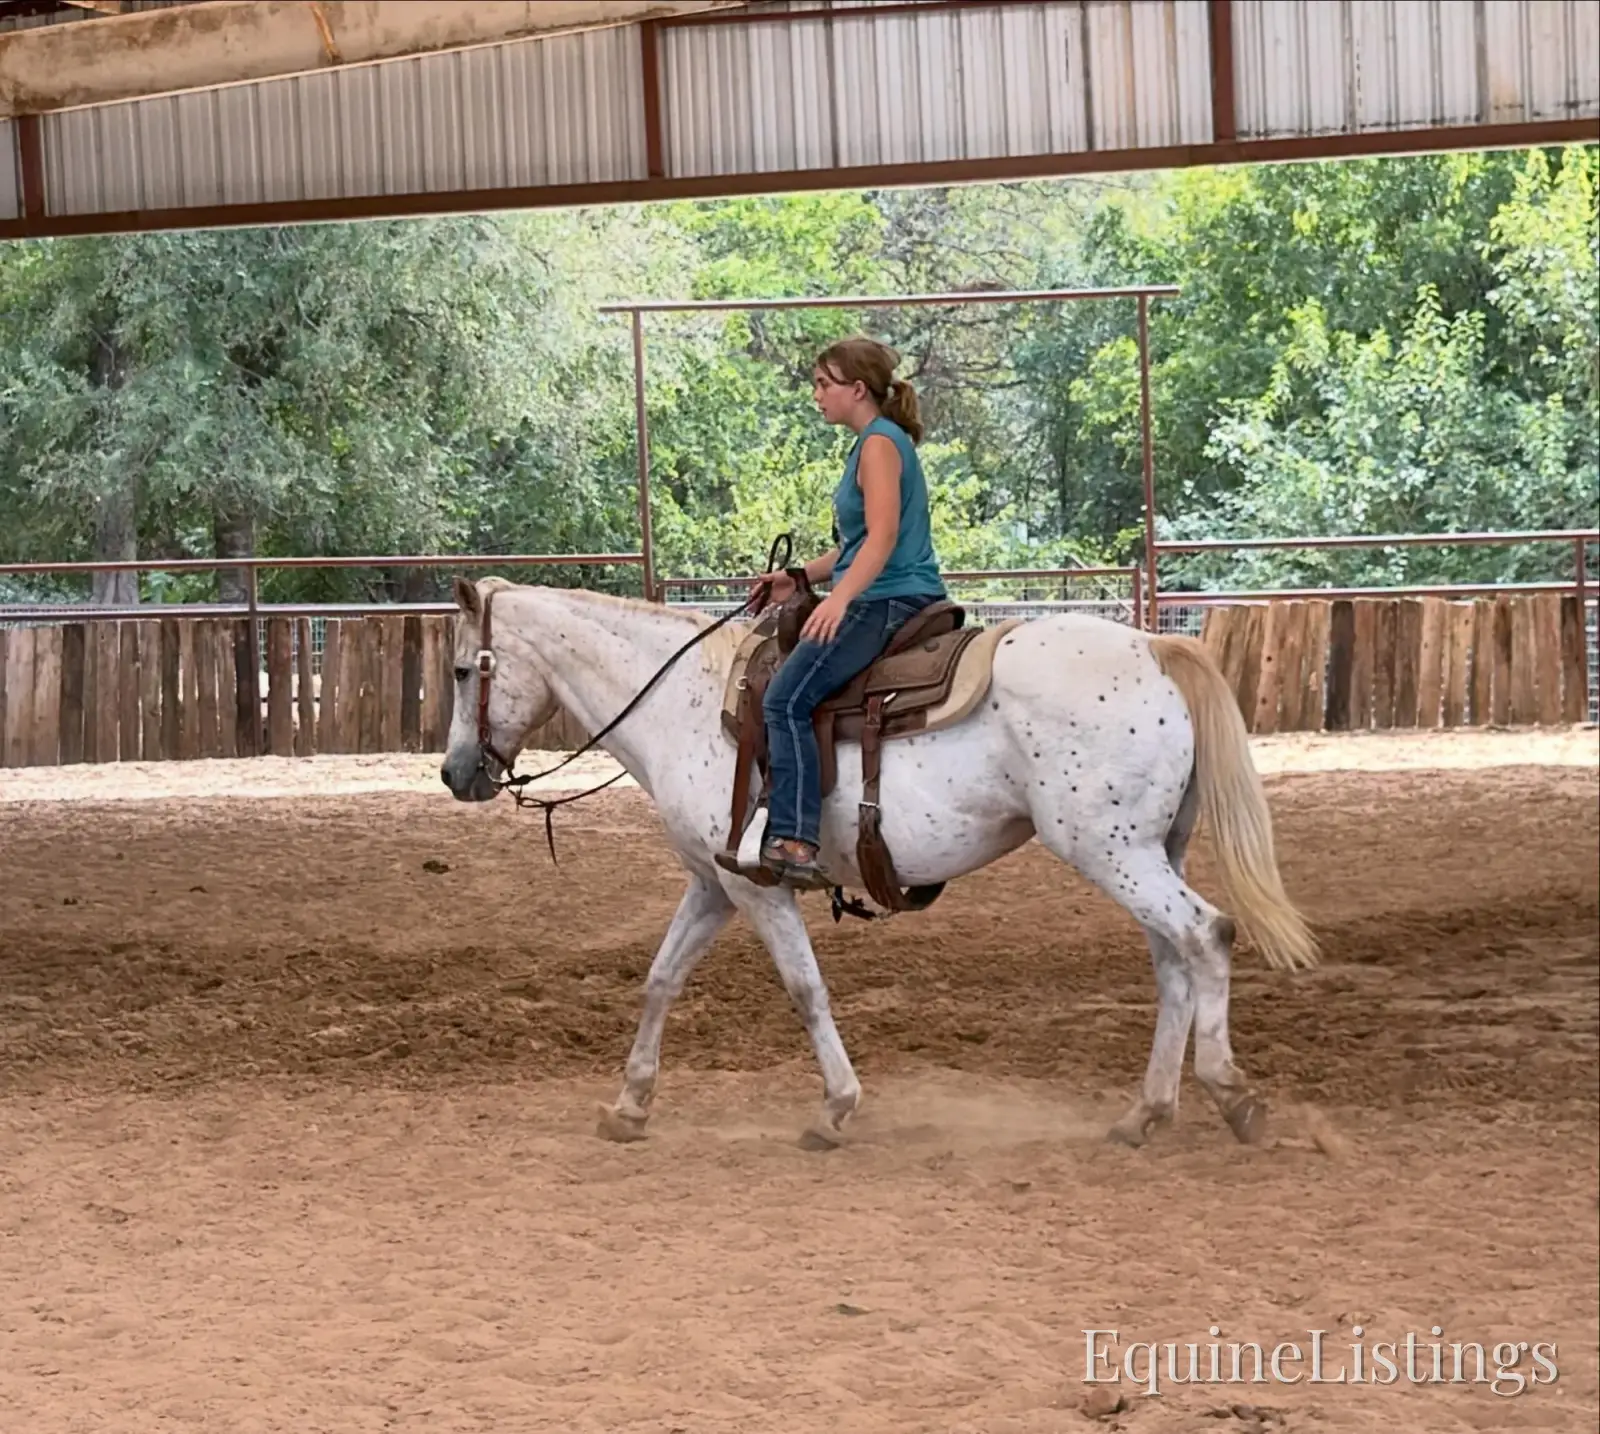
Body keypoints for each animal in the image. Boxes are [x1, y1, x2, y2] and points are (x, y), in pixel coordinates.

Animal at [439, 575, 1319, 1150]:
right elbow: (660, 980)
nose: (453, 774)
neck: (682, 701)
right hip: (1145, 852)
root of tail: (1157, 646)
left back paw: (1233, 1096)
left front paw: (836, 1108)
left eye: (458, 670)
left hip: (1111, 851)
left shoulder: (757, 888)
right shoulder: (714, 884)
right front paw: (629, 1105)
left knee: (1207, 937)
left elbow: (804, 990)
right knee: (1174, 962)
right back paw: (1146, 1113)